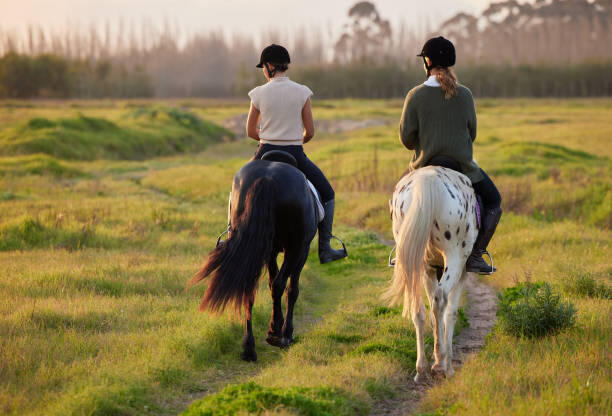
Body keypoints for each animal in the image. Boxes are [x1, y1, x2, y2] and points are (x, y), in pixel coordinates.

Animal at [189, 151, 318, 362]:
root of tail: (268, 178)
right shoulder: (301, 250)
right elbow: (291, 289)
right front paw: (285, 332)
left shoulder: (270, 251)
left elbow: (272, 284)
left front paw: (275, 327)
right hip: (295, 248)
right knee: (280, 284)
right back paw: (279, 337)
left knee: (248, 289)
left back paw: (249, 347)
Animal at [384, 164, 480, 382]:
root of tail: (427, 180)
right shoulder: (462, 272)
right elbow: (451, 313)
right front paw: (449, 365)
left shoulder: (429, 269)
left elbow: (431, 314)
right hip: (455, 257)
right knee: (440, 299)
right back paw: (440, 362)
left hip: (419, 260)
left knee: (418, 308)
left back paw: (422, 368)